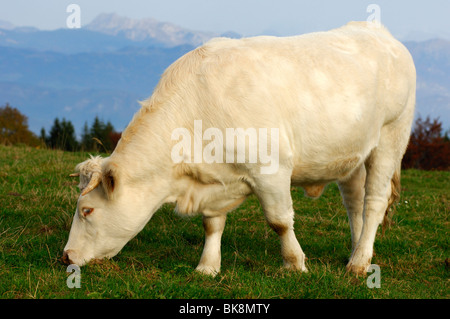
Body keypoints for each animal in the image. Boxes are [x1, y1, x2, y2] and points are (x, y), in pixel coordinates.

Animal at [62, 21, 414, 278]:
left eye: (87, 210)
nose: (65, 256)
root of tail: (376, 30)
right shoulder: (214, 179)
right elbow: (212, 223)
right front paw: (207, 267)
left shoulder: (272, 169)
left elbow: (279, 221)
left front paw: (295, 263)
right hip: (352, 155)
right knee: (354, 203)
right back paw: (356, 252)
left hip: (391, 137)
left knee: (374, 202)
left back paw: (359, 264)